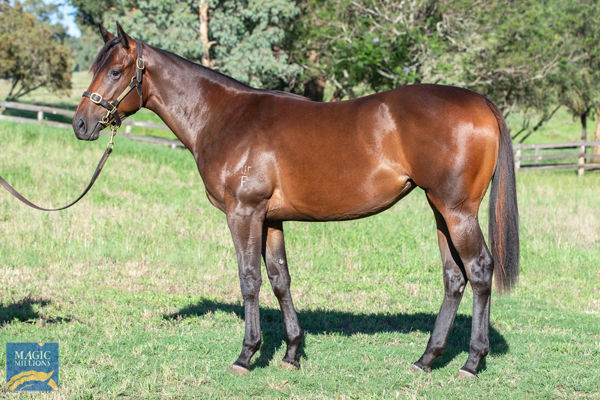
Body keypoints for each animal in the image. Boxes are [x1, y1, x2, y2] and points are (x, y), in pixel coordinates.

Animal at [72, 23, 516, 380]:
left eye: (115, 71)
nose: (81, 124)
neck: (225, 117)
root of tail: (480, 102)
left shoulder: (244, 213)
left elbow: (249, 279)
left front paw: (247, 355)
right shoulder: (271, 219)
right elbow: (279, 279)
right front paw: (291, 354)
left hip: (457, 211)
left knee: (479, 271)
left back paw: (471, 363)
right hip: (440, 210)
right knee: (454, 277)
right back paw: (427, 359)